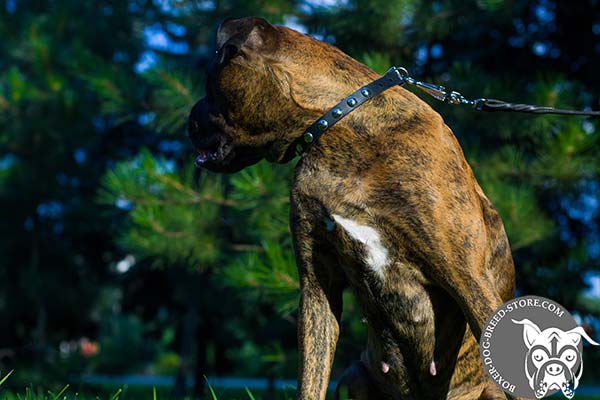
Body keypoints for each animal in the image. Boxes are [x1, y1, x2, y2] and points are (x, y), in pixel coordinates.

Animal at [188, 16, 516, 400]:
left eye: (209, 79)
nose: (190, 116)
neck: (339, 127)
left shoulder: (466, 278)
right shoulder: (317, 287)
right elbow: (310, 380)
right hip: (354, 376)